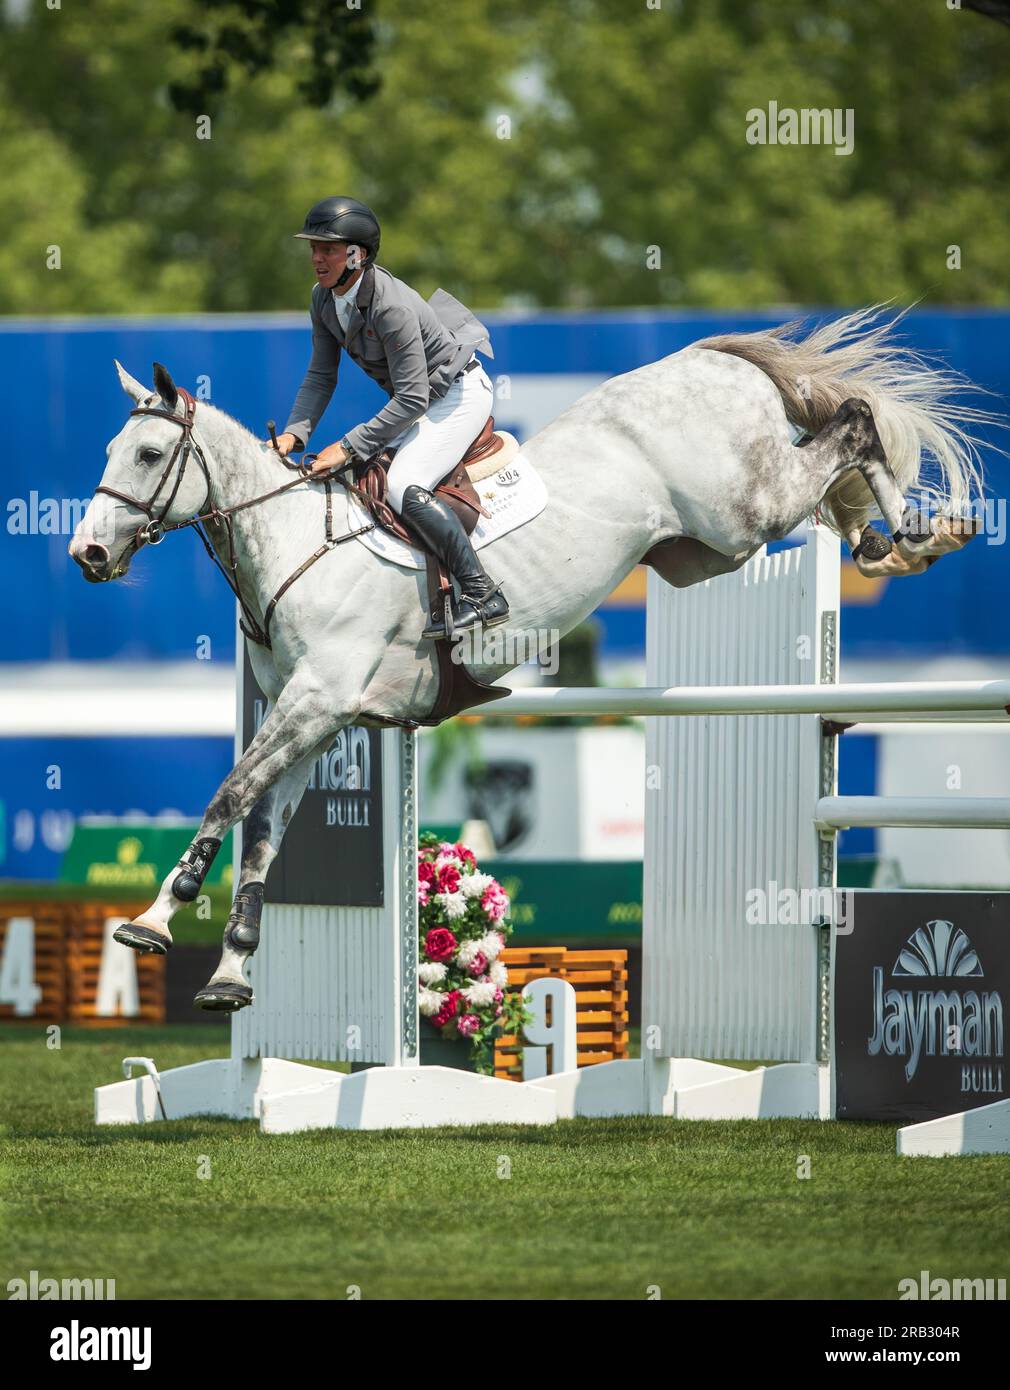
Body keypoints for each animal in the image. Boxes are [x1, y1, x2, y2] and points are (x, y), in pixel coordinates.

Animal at [69, 307, 994, 1011]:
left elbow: (228, 797)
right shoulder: (314, 720)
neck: (297, 544)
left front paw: (153, 919)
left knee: (853, 426)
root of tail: (713, 358)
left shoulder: (318, 700)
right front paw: (230, 972)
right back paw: (891, 542)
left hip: (745, 510)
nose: (87, 554)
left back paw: (913, 536)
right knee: (838, 457)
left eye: (147, 455)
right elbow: (261, 831)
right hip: (703, 552)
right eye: (108, 453)